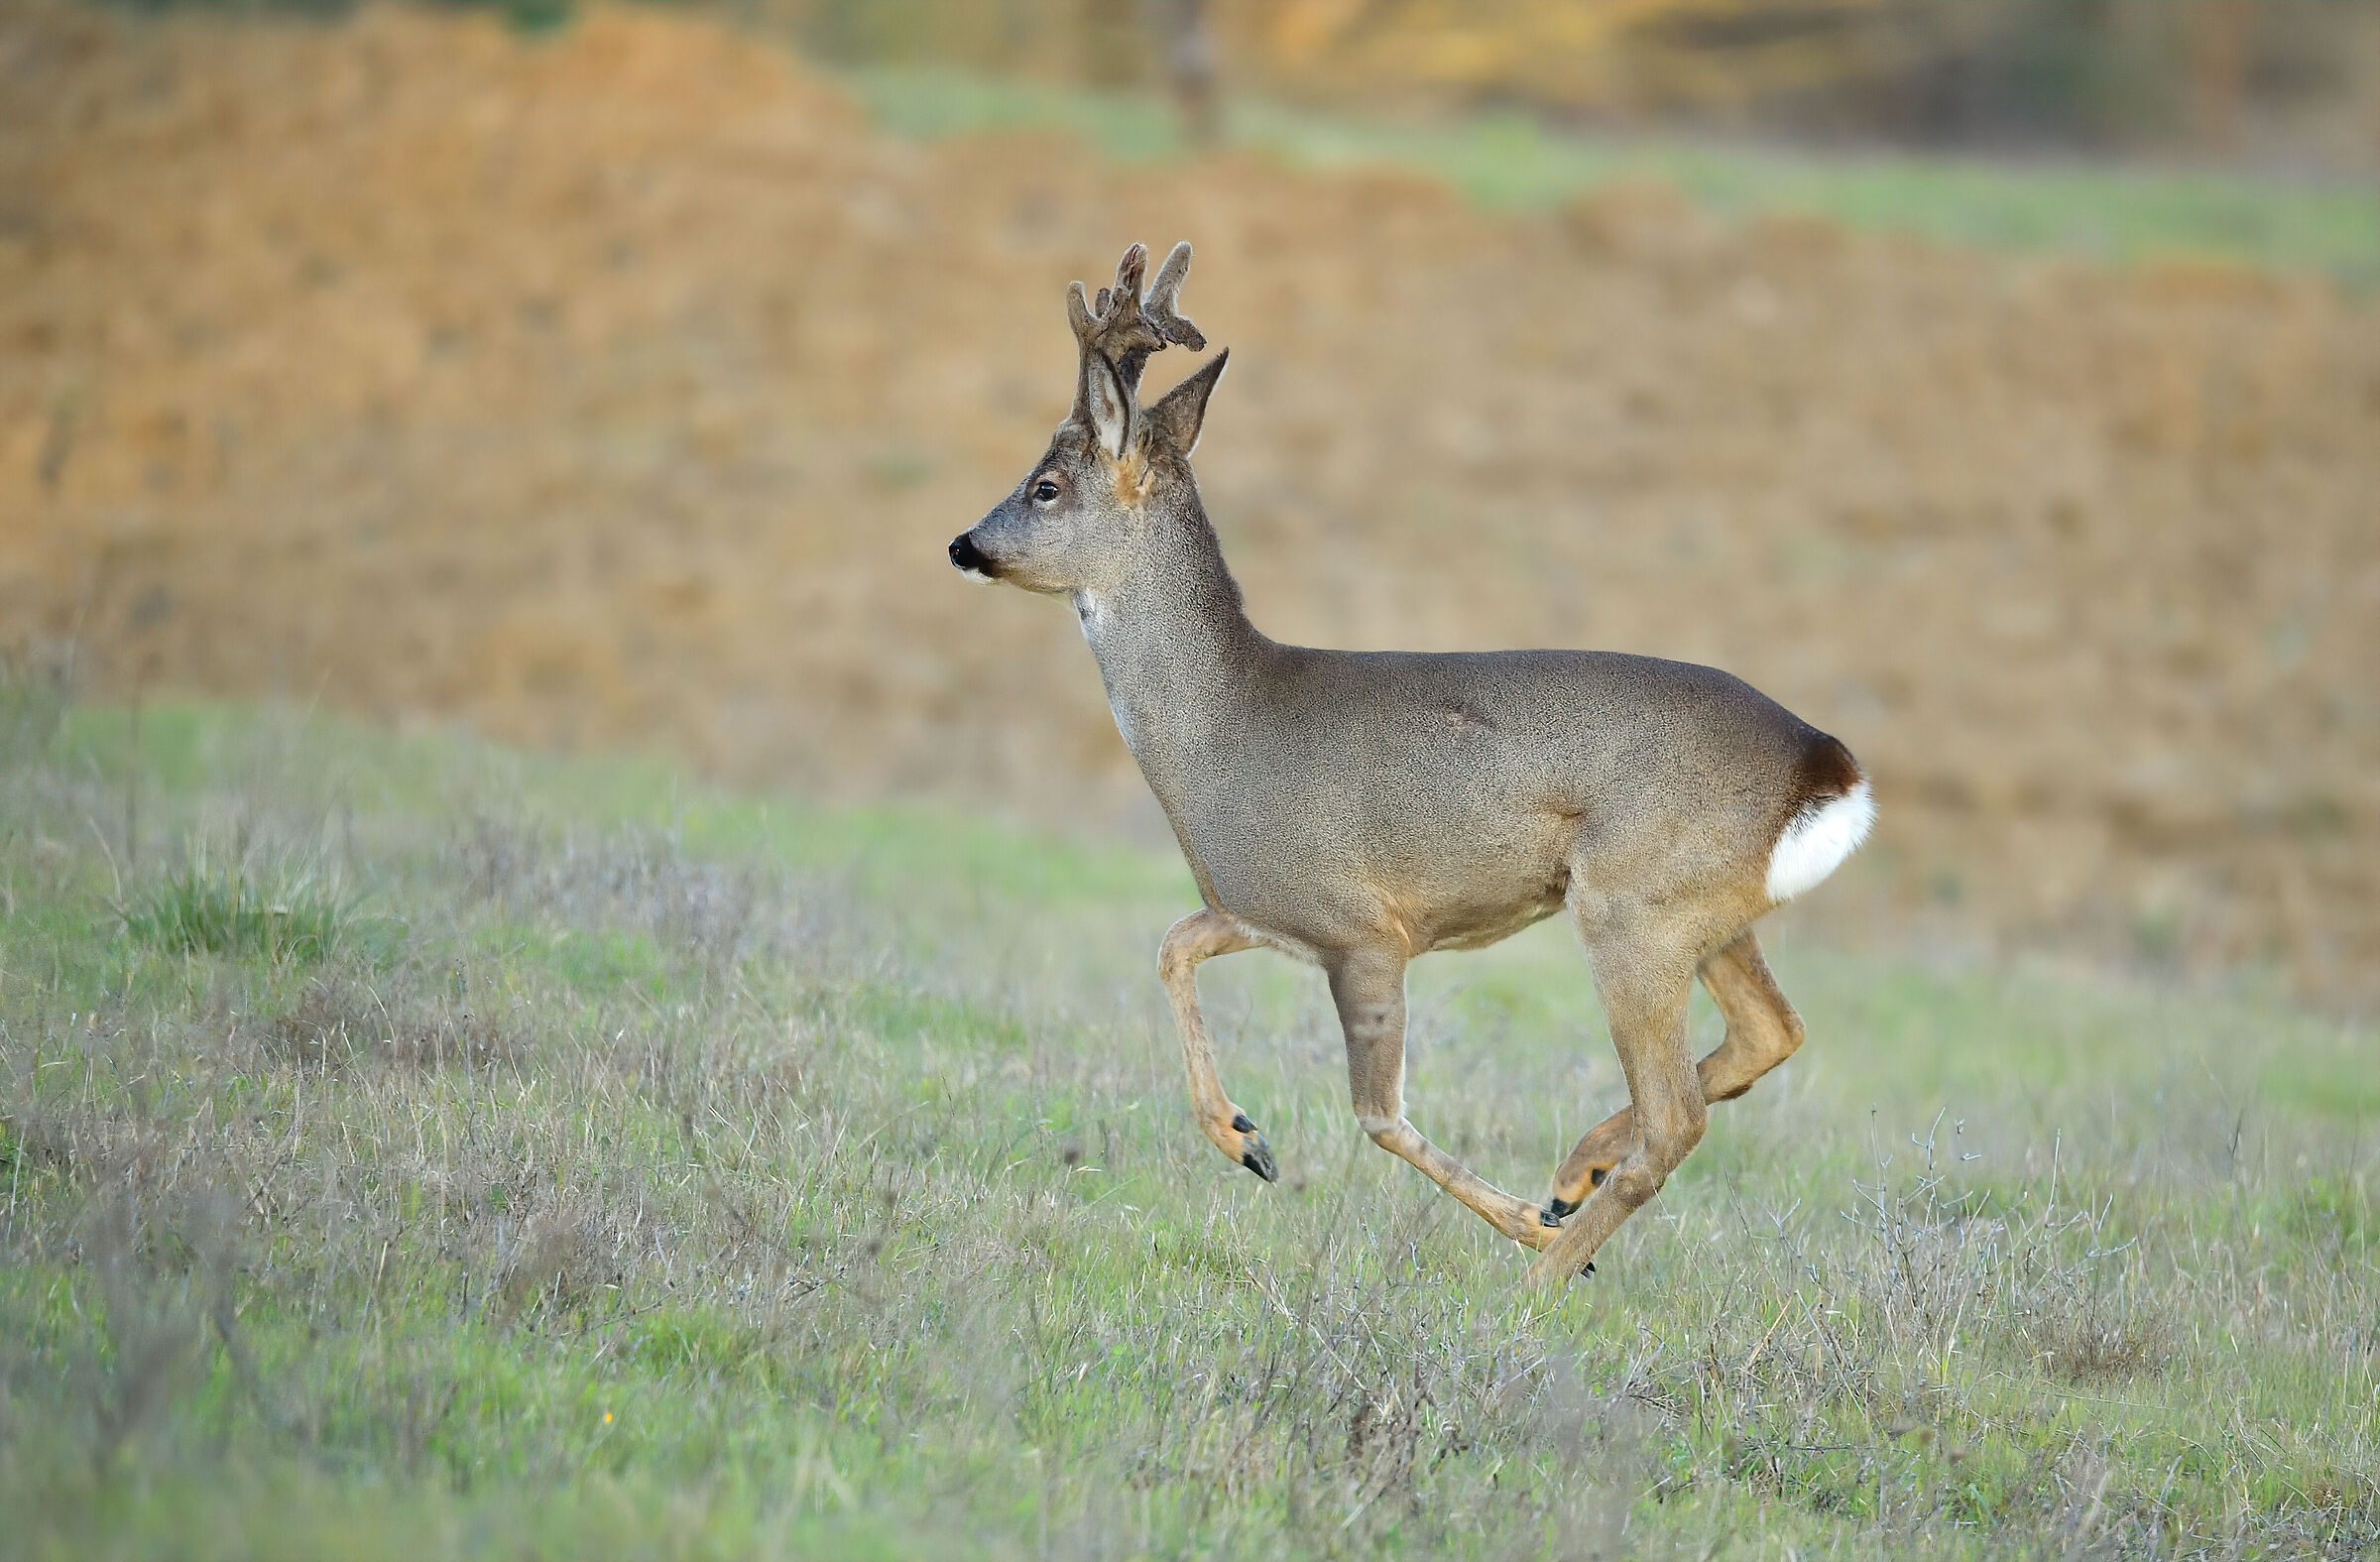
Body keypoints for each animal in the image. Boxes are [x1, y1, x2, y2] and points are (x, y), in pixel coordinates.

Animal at [948, 243, 1873, 1286]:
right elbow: (1171, 945)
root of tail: (1827, 767)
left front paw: (1522, 1226)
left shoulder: (1364, 928)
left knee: (1675, 1115)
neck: (1219, 731)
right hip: (1702, 911)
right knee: (1768, 1032)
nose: (962, 544)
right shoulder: (1264, 908)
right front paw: (1244, 1137)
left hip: (1634, 906)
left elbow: (1379, 1114)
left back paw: (1544, 1272)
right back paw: (1574, 1174)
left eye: (1045, 485)